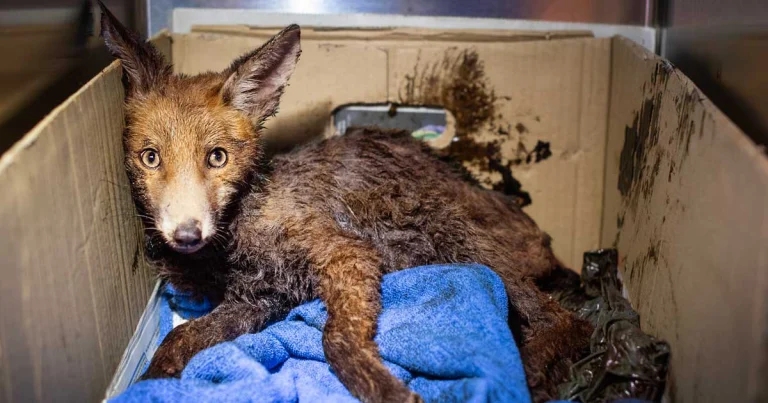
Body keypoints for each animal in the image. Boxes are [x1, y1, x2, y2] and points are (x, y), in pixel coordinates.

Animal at [97, 2, 592, 403]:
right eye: (150, 158)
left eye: (216, 157)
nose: (186, 234)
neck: (239, 232)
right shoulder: (257, 300)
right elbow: (175, 342)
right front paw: (151, 384)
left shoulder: (347, 255)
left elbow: (336, 341)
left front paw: (382, 386)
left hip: (449, 230)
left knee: (569, 321)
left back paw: (528, 376)